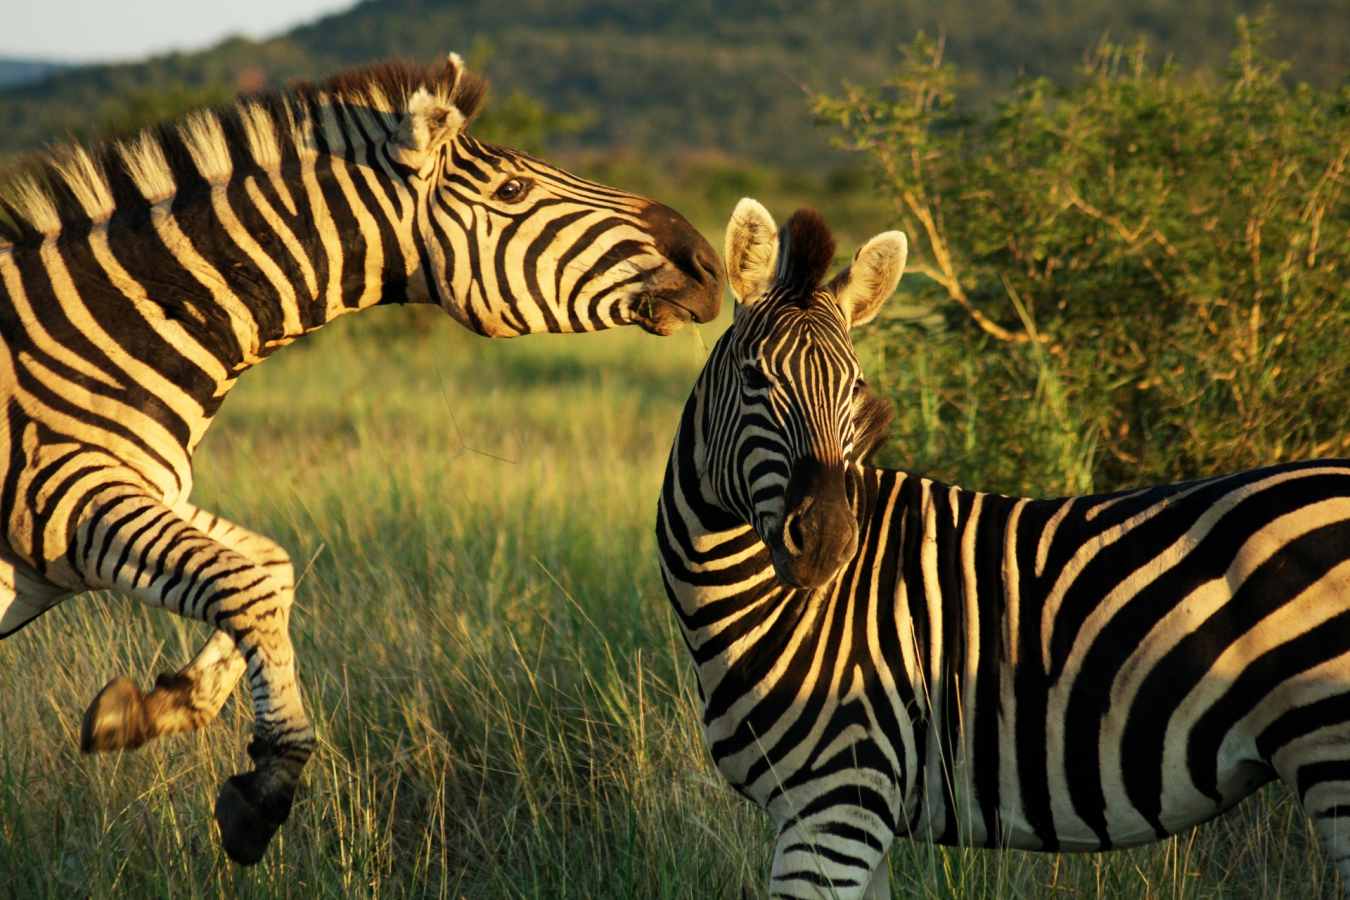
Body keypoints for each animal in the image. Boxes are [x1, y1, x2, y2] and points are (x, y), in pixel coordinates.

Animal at [0, 53, 721, 865]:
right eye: (511, 191)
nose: (707, 260)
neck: (116, 322)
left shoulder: (140, 498)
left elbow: (270, 569)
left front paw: (154, 707)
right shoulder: (62, 496)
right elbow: (243, 582)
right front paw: (266, 785)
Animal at [656, 198, 1350, 898]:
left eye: (853, 388)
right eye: (755, 379)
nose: (828, 541)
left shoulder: (836, 799)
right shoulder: (856, 811)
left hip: (1328, 751)